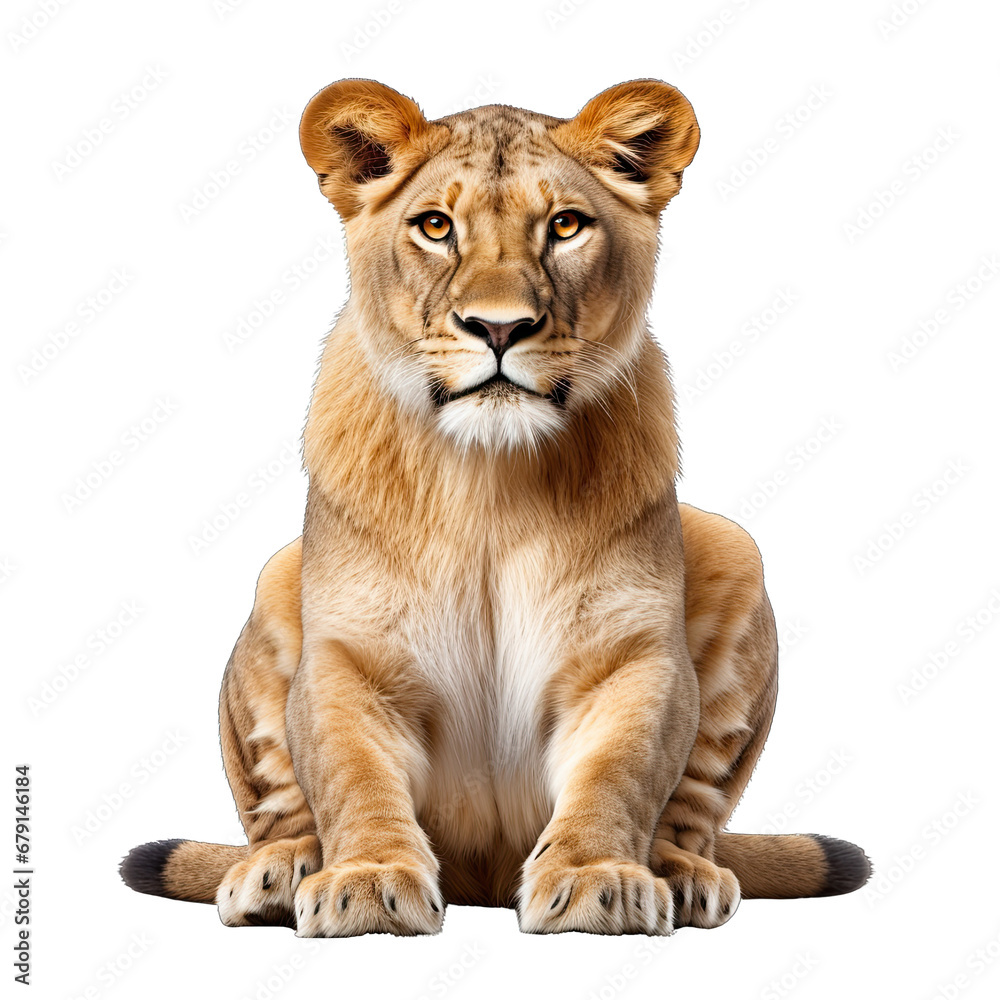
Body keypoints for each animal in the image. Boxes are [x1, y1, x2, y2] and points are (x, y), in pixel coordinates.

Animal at [121, 79, 869, 936]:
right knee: (283, 807)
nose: (499, 326)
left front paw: (595, 879)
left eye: (566, 225)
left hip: (734, 548)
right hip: (275, 579)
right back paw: (277, 871)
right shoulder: (351, 657)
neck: (490, 479)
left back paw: (683, 875)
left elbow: (618, 773)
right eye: (435, 226)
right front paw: (368, 880)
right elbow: (352, 776)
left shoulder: (630, 656)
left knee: (693, 808)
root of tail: (481, 877)